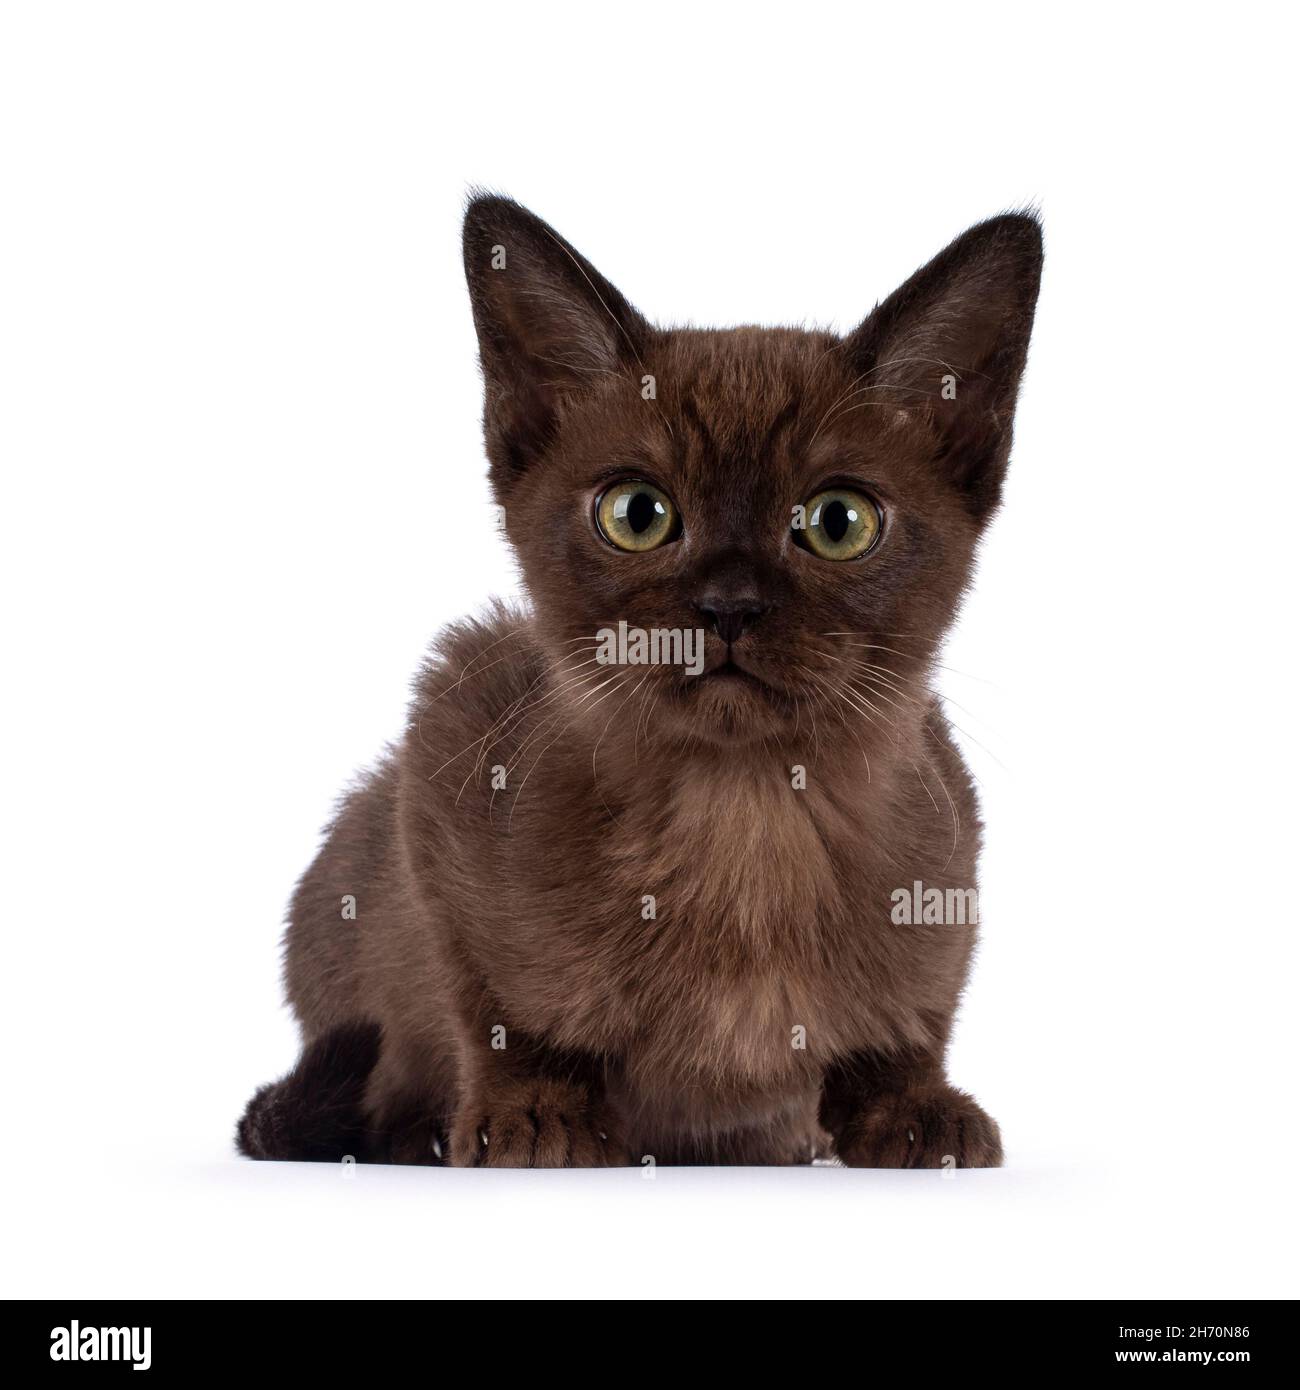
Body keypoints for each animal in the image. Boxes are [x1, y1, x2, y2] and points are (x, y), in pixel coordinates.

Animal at [236, 195, 1045, 1167]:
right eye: (637, 514)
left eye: (838, 522)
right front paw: (535, 1114)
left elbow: (915, 1020)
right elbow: (492, 1008)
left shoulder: (948, 854)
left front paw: (912, 1108)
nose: (729, 605)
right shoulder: (446, 730)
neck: (745, 816)